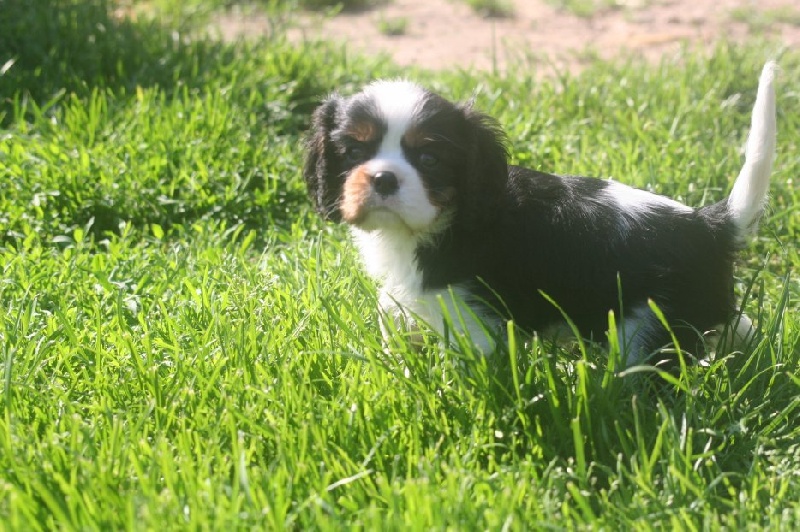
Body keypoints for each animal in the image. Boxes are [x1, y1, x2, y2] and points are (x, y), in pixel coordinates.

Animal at [304, 60, 780, 364]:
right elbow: (392, 310)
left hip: (651, 329)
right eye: (353, 152)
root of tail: (707, 223)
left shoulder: (475, 321)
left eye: (429, 159)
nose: (383, 178)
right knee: (736, 323)